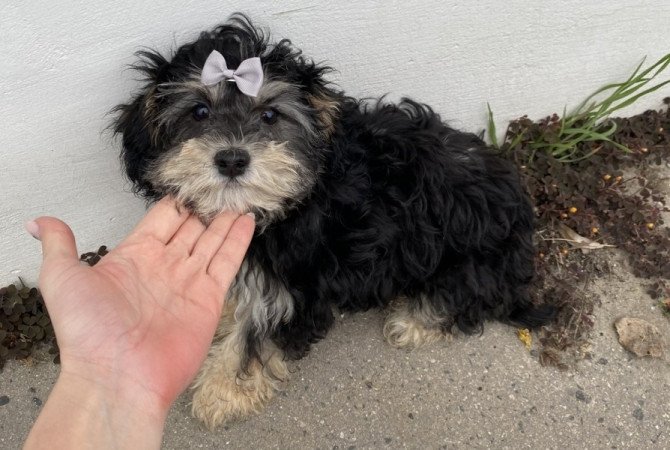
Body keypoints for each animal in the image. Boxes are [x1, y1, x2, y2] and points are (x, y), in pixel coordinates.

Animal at [114, 14, 556, 428]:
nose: (232, 159)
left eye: (271, 115)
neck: (286, 204)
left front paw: (220, 395)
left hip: (464, 260)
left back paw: (412, 322)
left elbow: (252, 335)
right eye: (199, 111)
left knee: (462, 297)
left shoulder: (290, 288)